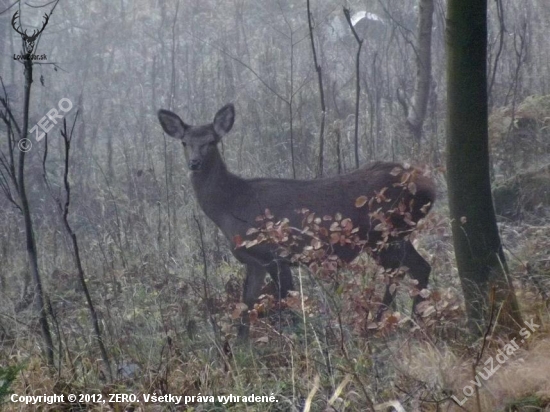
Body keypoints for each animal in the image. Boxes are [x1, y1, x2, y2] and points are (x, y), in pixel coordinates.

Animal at [157, 103, 438, 338]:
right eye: (184, 142)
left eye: (212, 141)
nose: (195, 163)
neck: (232, 207)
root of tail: (429, 186)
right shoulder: (254, 261)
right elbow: (246, 306)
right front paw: (239, 350)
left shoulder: (276, 253)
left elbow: (286, 305)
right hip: (394, 235)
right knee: (420, 268)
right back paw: (411, 322)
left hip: (385, 233)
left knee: (401, 272)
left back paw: (381, 324)